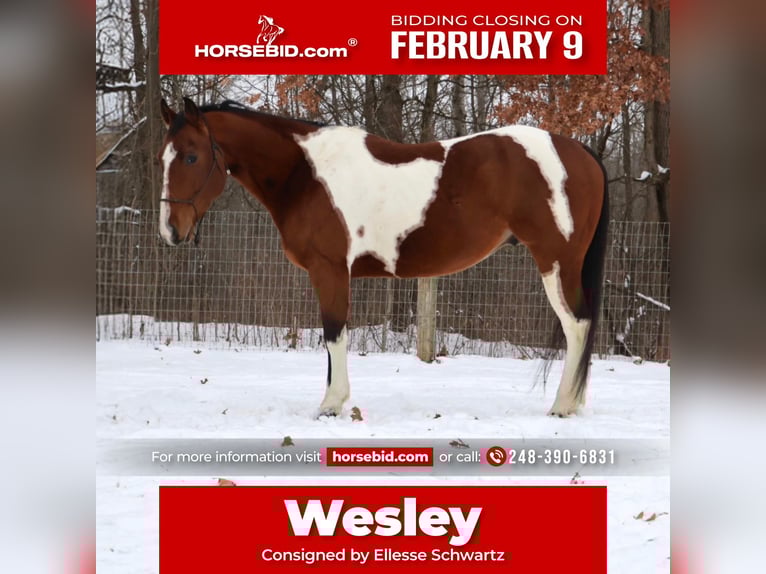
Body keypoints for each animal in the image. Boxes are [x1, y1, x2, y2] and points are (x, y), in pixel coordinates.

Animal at [157, 97, 609, 418]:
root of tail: (578, 151)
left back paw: (563, 406)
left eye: (192, 156)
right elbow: (333, 336)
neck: (305, 175)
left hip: (557, 264)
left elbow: (334, 333)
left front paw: (331, 404)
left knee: (577, 326)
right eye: (164, 157)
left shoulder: (329, 270)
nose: (170, 231)